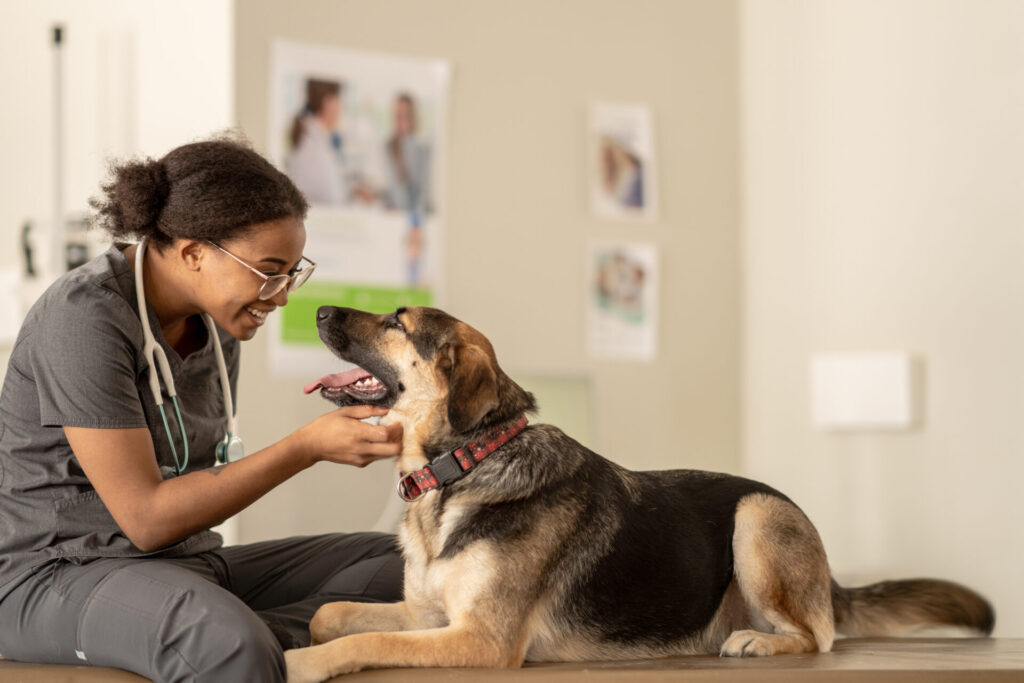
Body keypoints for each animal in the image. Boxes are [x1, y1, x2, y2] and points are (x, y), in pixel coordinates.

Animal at [284, 307, 995, 679]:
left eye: (397, 323)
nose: (316, 309)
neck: (463, 467)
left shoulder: (482, 640)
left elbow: (363, 643)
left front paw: (300, 664)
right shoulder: (431, 618)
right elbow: (332, 615)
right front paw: (307, 637)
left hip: (757, 516)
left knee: (817, 637)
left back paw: (760, 642)